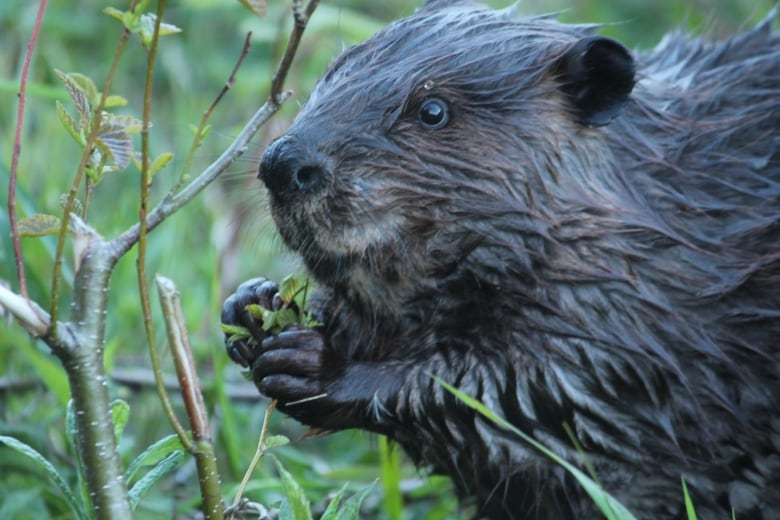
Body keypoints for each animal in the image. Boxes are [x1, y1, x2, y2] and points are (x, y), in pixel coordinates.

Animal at [222, 2, 780, 516]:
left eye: (433, 111)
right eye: (330, 77)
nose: (283, 163)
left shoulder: (621, 312)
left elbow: (533, 394)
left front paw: (313, 366)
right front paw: (251, 306)